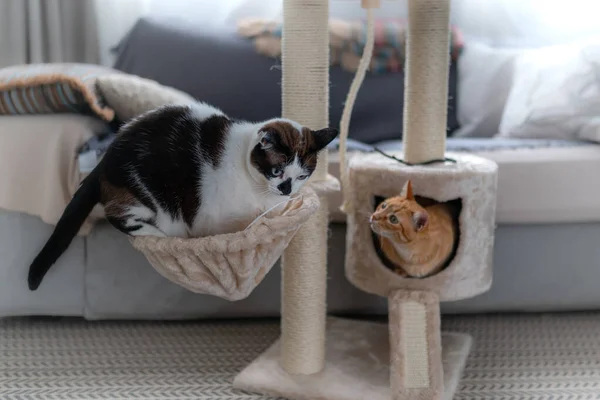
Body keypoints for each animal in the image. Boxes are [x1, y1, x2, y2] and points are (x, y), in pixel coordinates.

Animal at [28, 103, 338, 290]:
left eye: (302, 175)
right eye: (276, 170)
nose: (287, 189)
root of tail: (104, 160)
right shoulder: (213, 217)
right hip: (145, 196)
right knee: (121, 217)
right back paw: (161, 237)